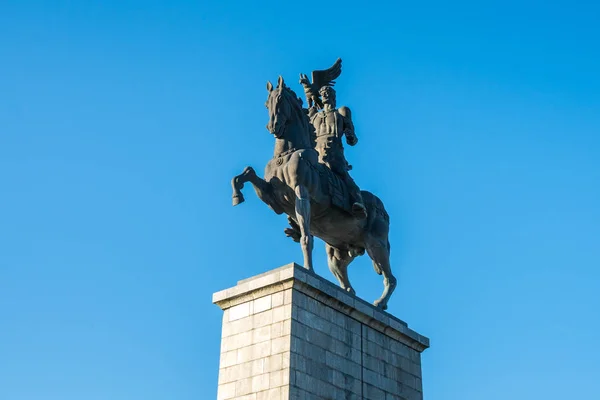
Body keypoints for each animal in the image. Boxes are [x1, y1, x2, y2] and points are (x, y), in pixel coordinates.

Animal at [231, 76, 398, 310]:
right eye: (266, 104)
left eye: (280, 100)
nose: (273, 126)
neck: (288, 153)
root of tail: (383, 210)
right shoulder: (274, 200)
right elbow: (247, 174)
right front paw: (237, 194)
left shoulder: (302, 196)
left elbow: (307, 237)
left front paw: (308, 270)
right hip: (338, 251)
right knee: (343, 276)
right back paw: (349, 294)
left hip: (376, 244)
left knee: (390, 278)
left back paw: (380, 304)